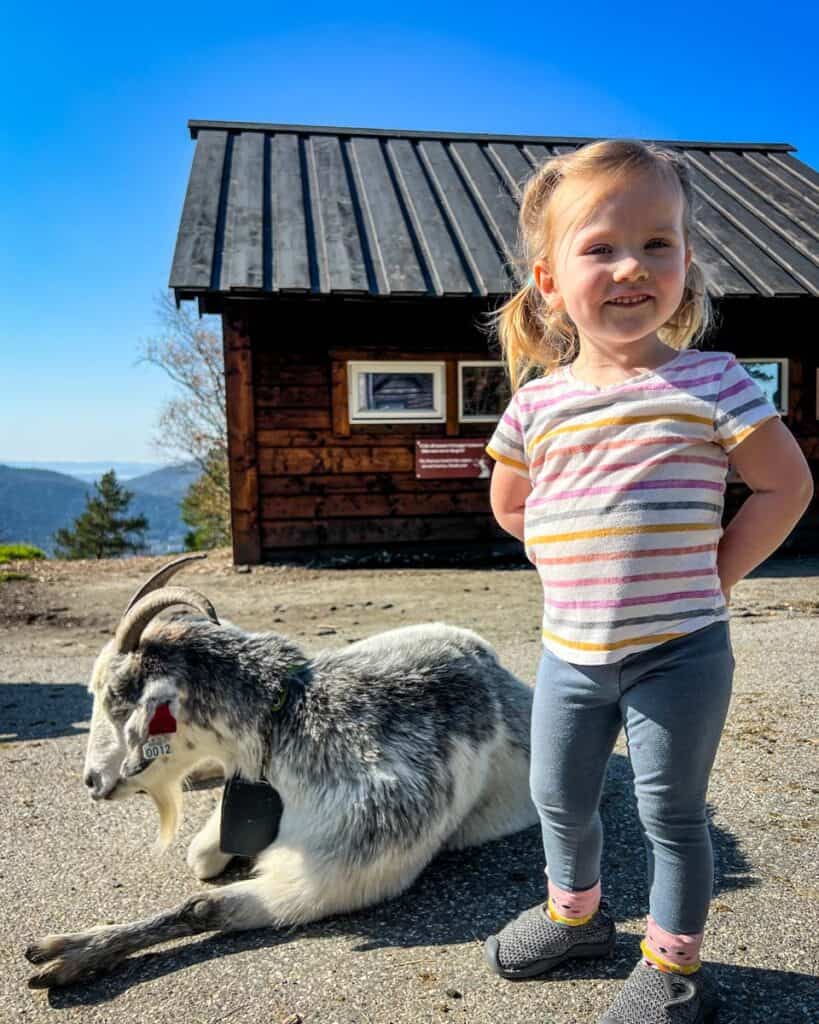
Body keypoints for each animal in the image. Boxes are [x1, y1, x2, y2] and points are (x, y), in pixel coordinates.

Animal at [24, 557, 536, 987]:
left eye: (116, 698)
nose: (92, 781)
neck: (288, 723)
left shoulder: (332, 877)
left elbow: (202, 906)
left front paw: (74, 951)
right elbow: (201, 857)